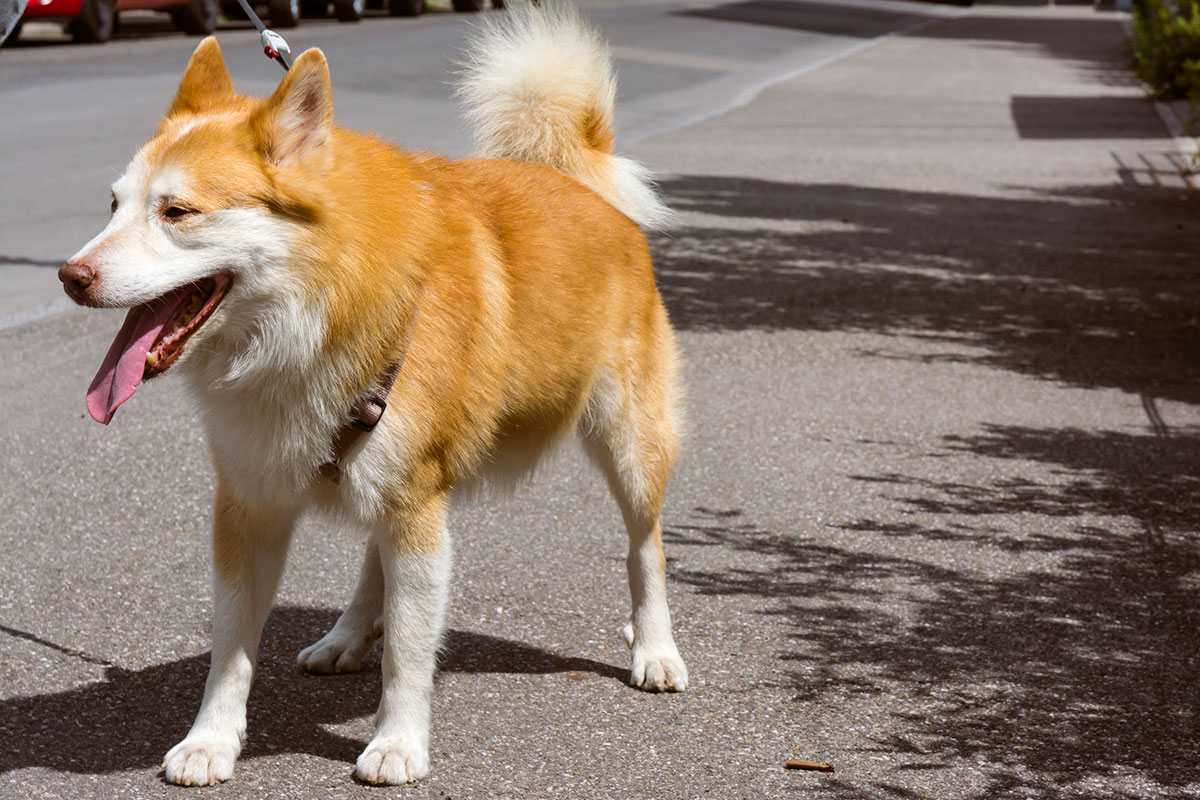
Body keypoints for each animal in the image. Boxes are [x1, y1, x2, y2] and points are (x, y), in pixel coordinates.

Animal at [60, 1, 691, 786]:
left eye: (176, 212)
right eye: (113, 205)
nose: (70, 276)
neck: (315, 312)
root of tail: (577, 180)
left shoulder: (419, 511)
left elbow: (411, 653)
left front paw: (398, 743)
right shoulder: (248, 507)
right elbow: (230, 649)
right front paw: (210, 740)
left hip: (627, 443)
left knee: (646, 547)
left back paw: (655, 647)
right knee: (372, 556)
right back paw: (347, 634)